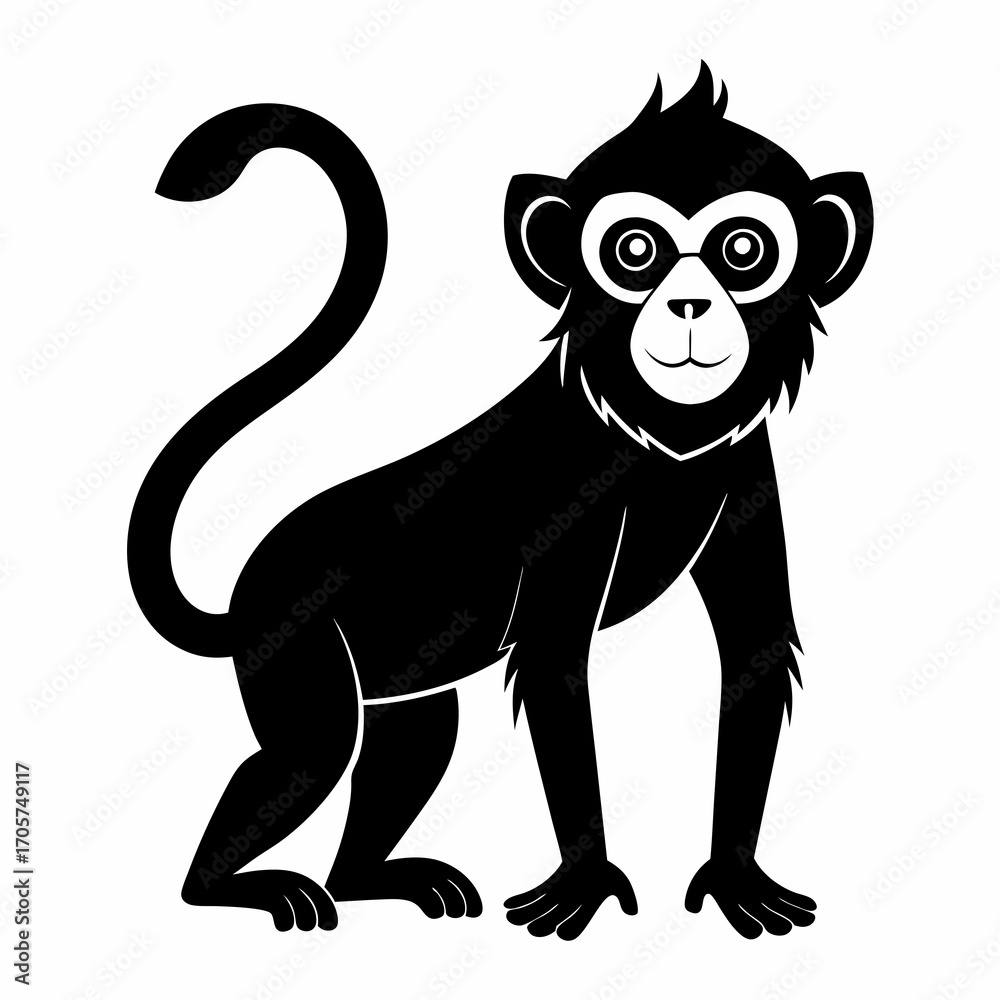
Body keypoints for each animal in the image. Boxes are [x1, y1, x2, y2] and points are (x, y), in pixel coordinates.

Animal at [127, 63, 872, 940]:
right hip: (292, 642)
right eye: (635, 250)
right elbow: (555, 663)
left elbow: (752, 648)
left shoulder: (747, 467)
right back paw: (227, 887)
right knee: (309, 754)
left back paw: (366, 879)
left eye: (743, 250)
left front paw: (733, 877)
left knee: (414, 740)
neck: (656, 437)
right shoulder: (569, 497)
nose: (689, 306)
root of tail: (247, 592)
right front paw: (584, 881)